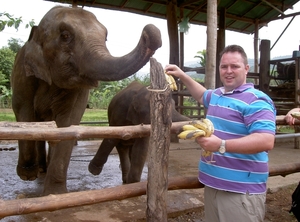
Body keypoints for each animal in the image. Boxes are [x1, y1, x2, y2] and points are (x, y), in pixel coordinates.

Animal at [10, 6, 162, 195]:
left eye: (105, 37)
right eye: (65, 35)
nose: (149, 31)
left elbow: (68, 122)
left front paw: (55, 194)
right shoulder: (22, 75)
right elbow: (23, 111)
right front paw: (27, 173)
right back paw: (39, 171)